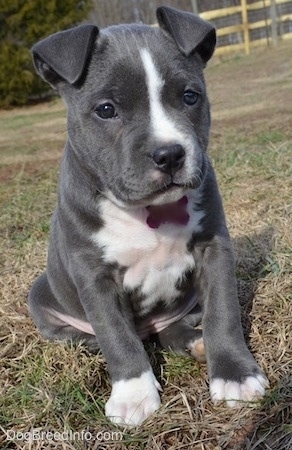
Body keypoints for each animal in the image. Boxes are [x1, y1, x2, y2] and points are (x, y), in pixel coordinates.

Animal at [28, 6, 268, 426]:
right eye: (106, 109)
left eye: (190, 96)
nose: (169, 154)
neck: (149, 211)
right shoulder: (93, 275)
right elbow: (115, 334)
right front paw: (134, 394)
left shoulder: (214, 247)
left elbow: (223, 313)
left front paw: (234, 375)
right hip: (40, 297)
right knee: (96, 337)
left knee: (172, 331)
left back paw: (195, 342)